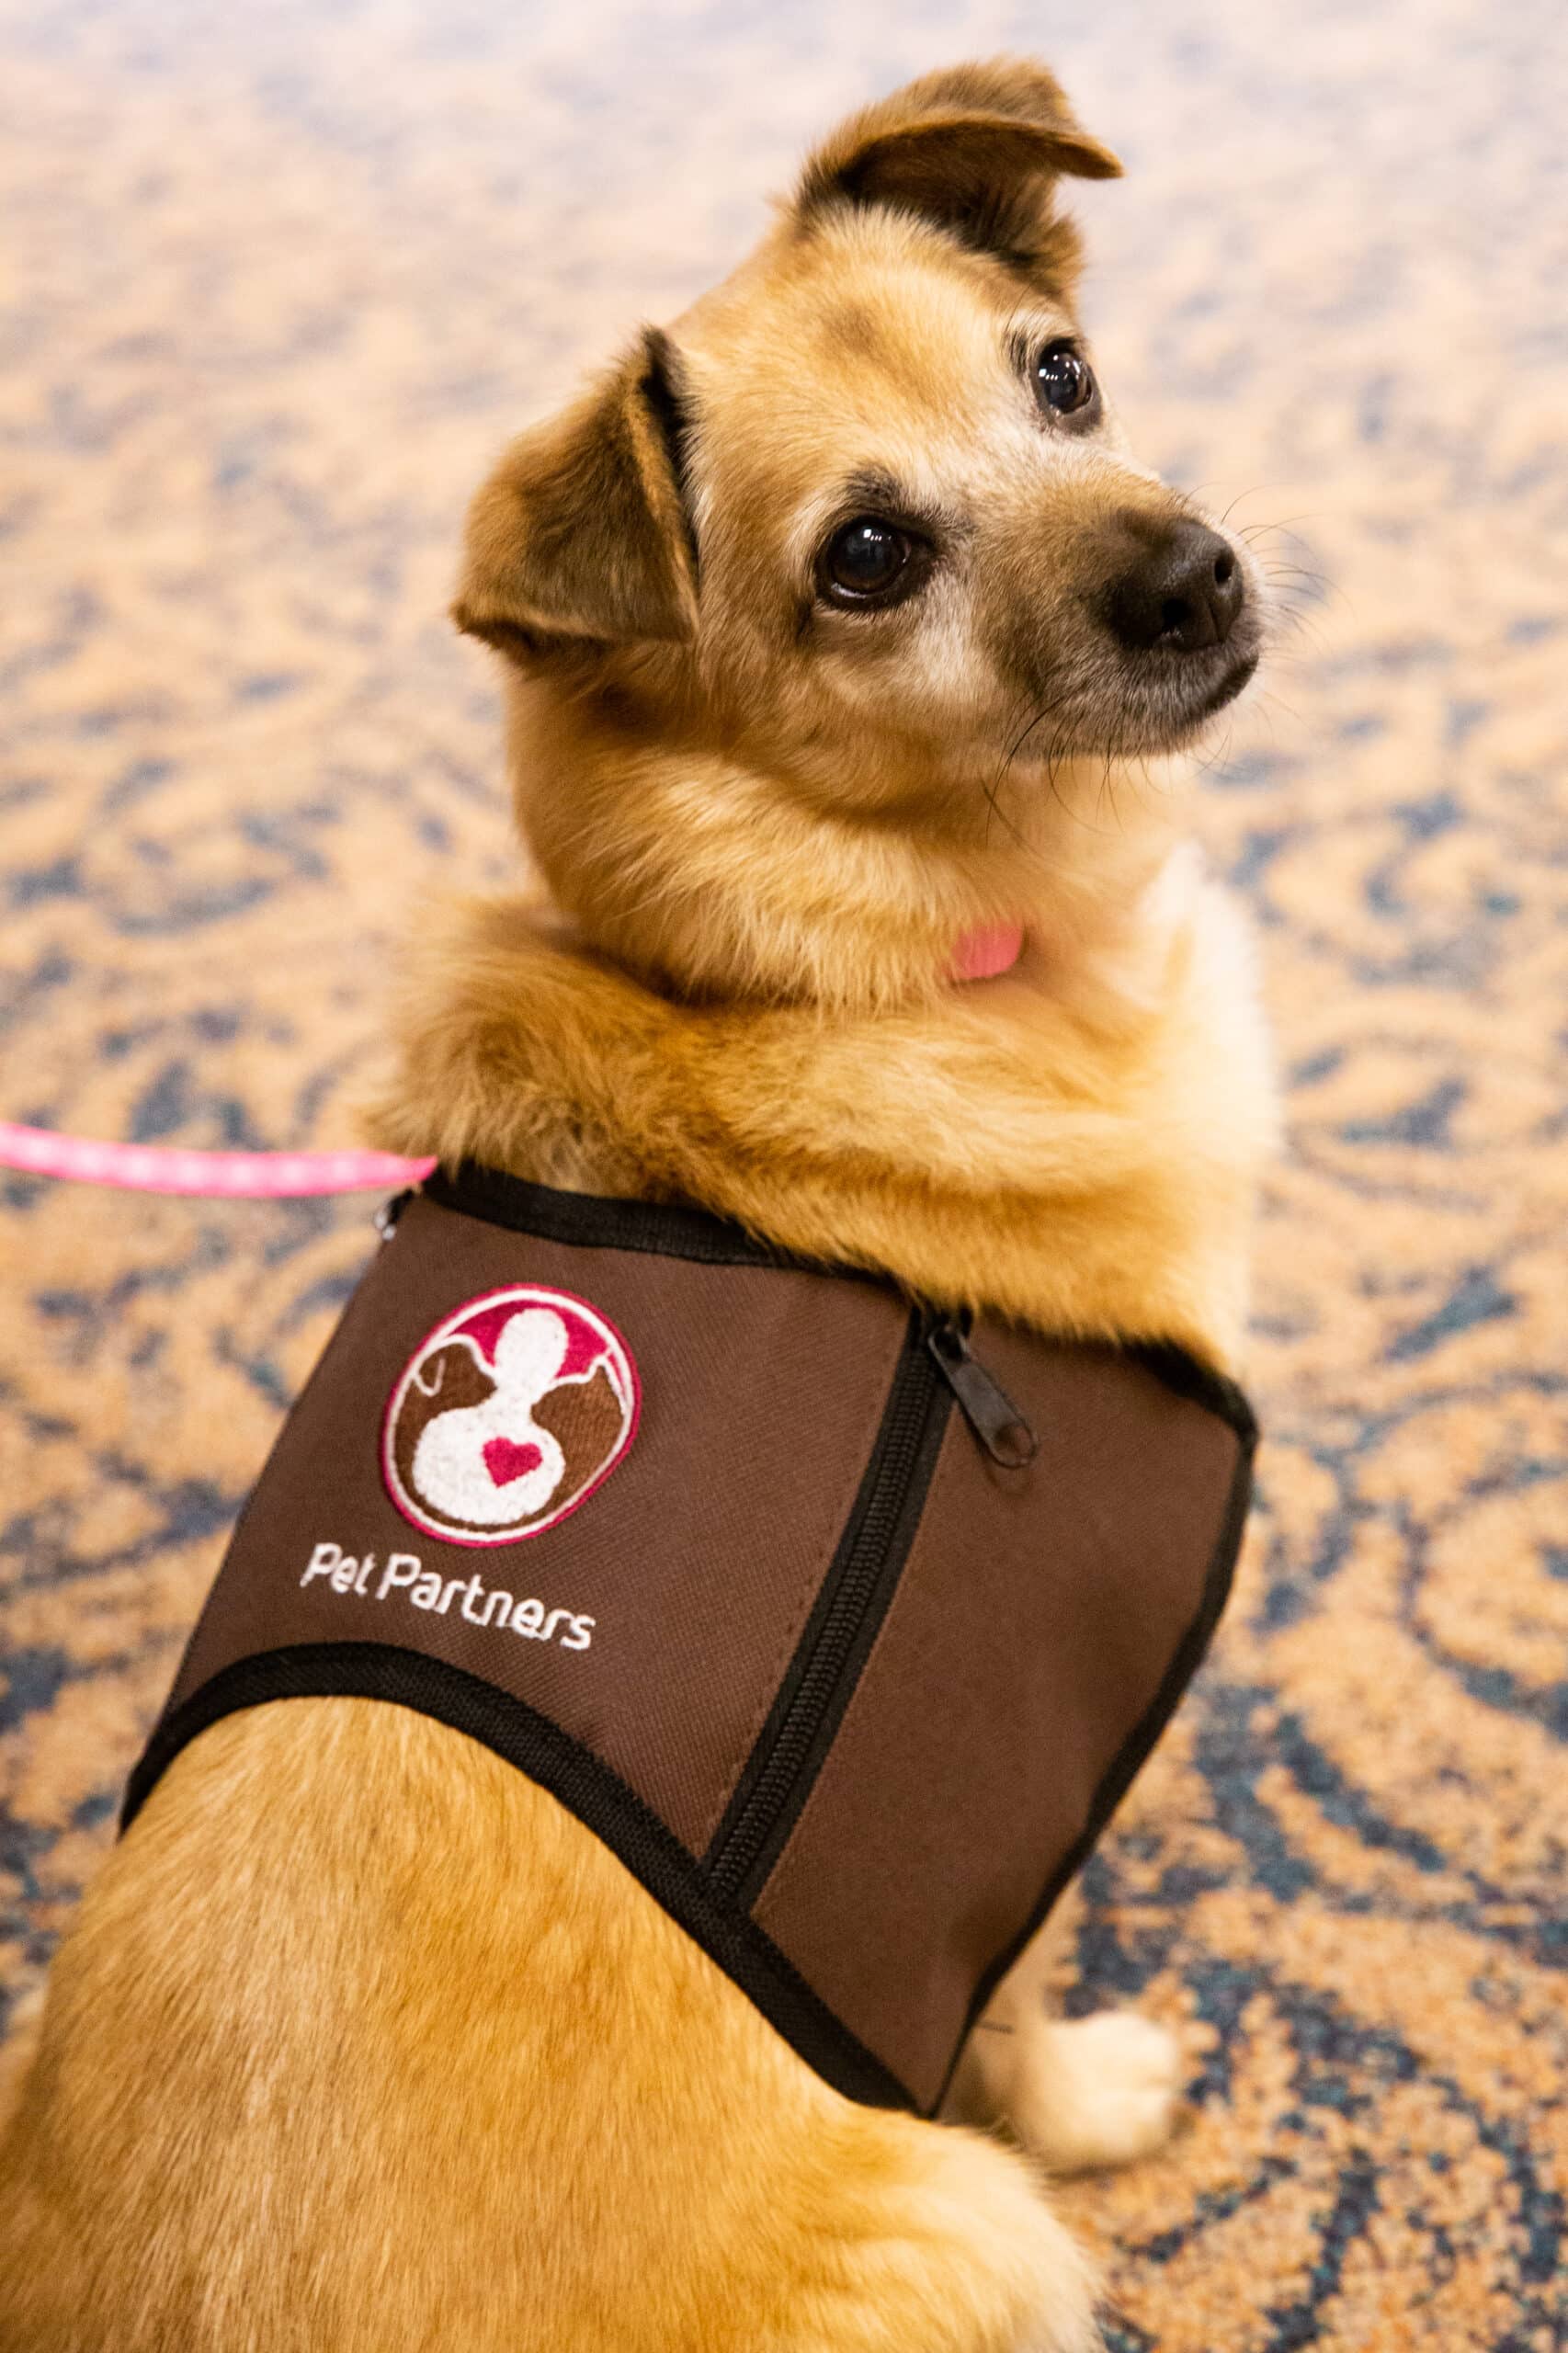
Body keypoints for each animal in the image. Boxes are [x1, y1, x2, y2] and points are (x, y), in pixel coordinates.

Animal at [0, 55, 1271, 2353]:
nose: (1196, 571)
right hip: (960, 2225)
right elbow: (1013, 2017)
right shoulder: (991, 1815)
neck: (837, 966)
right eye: (866, 557)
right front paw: (1099, 2092)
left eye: (1059, 374)